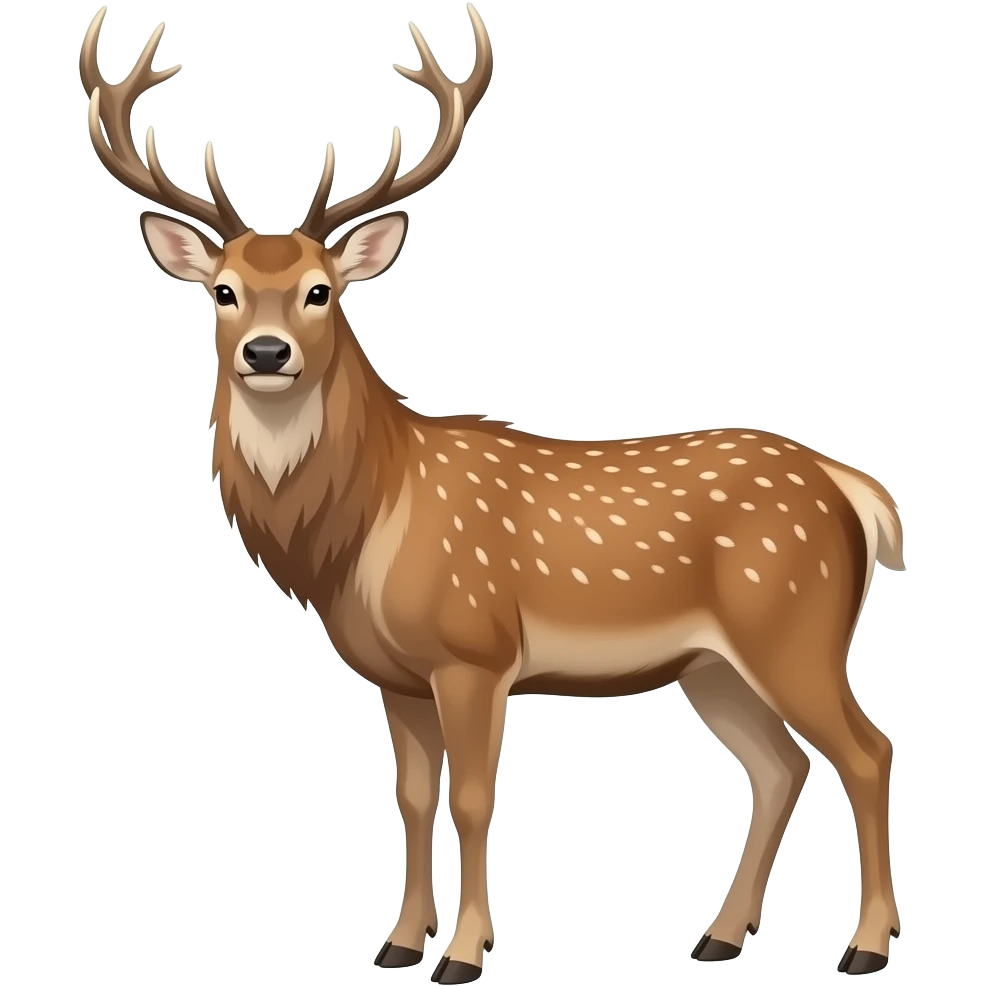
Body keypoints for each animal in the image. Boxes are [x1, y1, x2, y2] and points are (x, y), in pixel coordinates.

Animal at [79, 4, 905, 980]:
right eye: (223, 292)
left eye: (321, 292)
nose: (267, 353)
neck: (360, 534)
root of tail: (852, 490)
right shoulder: (394, 675)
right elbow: (409, 796)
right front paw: (399, 943)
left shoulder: (474, 651)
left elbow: (473, 798)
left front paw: (466, 953)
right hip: (713, 665)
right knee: (779, 766)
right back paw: (718, 936)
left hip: (795, 625)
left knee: (866, 751)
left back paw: (865, 946)